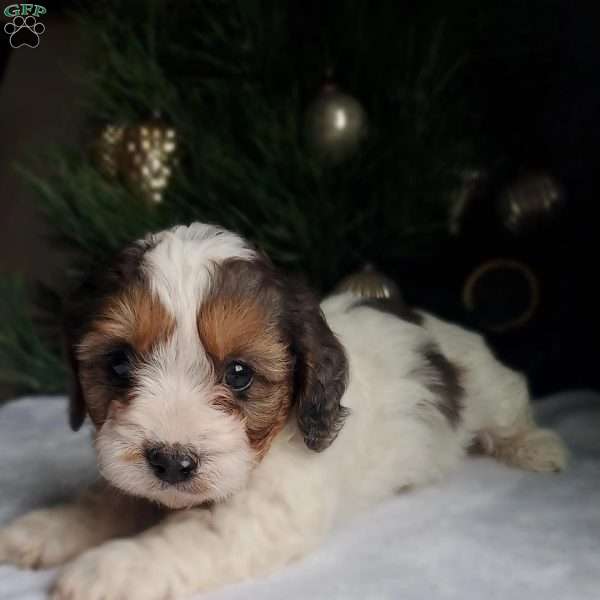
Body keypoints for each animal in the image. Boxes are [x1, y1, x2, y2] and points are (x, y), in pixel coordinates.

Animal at [0, 223, 568, 596]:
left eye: (239, 373)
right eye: (119, 364)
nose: (171, 464)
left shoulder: (269, 511)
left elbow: (190, 536)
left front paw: (112, 568)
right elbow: (108, 499)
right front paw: (43, 530)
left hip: (490, 386)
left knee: (511, 404)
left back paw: (537, 448)